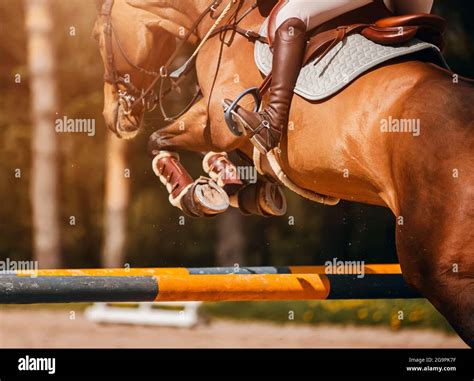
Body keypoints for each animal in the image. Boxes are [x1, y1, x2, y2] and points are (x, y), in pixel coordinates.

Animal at [94, 0, 472, 346]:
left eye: (98, 37)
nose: (114, 117)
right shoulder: (227, 131)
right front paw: (236, 185)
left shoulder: (216, 121)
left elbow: (159, 140)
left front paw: (194, 193)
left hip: (440, 271)